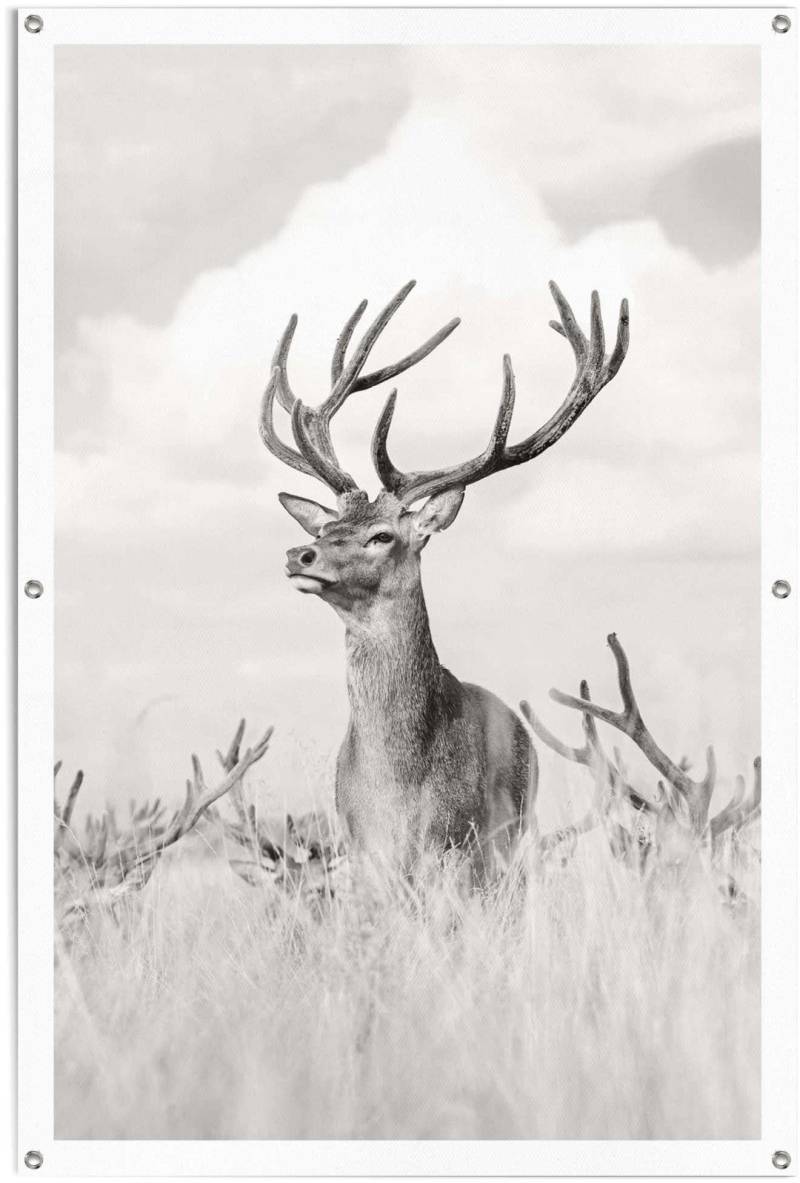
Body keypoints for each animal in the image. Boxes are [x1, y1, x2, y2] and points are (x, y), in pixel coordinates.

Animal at [259, 280, 630, 873]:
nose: (300, 554)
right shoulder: (364, 853)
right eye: (329, 526)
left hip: (511, 837)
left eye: (382, 536)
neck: (397, 790)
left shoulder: (456, 846)